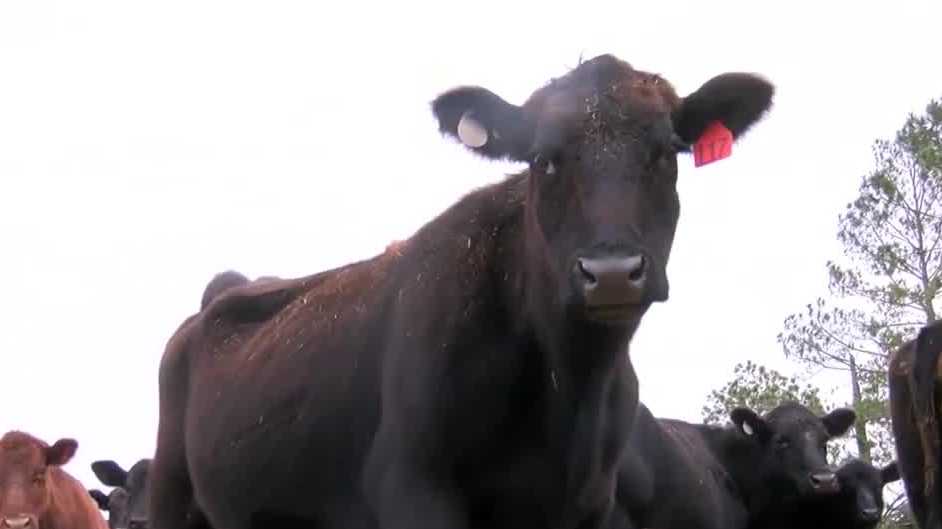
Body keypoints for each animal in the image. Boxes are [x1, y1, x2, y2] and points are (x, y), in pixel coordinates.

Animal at [149, 53, 774, 529]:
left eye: (665, 152)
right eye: (544, 159)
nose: (613, 270)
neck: (567, 385)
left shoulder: (591, 504)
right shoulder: (413, 484)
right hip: (171, 493)